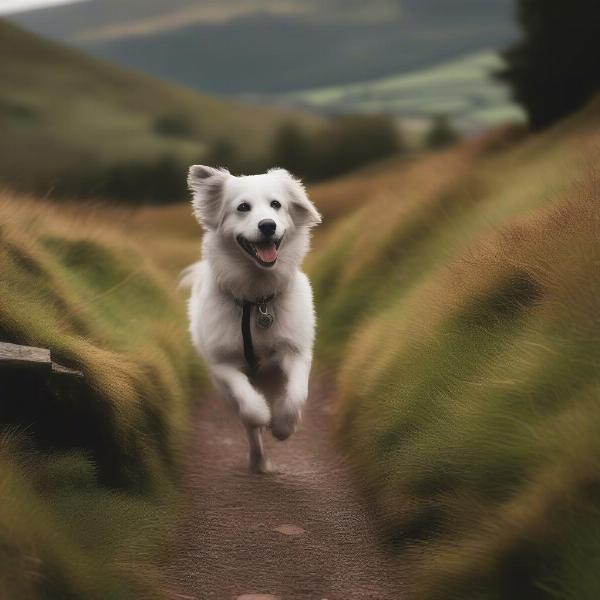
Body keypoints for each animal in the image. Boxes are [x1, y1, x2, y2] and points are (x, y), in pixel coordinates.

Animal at [184, 165, 322, 474]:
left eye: (276, 205)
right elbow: (247, 405)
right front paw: (262, 414)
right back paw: (259, 462)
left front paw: (283, 426)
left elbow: (297, 393)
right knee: (248, 426)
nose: (267, 225)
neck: (257, 301)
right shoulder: (222, 364)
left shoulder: (296, 351)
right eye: (243, 208)